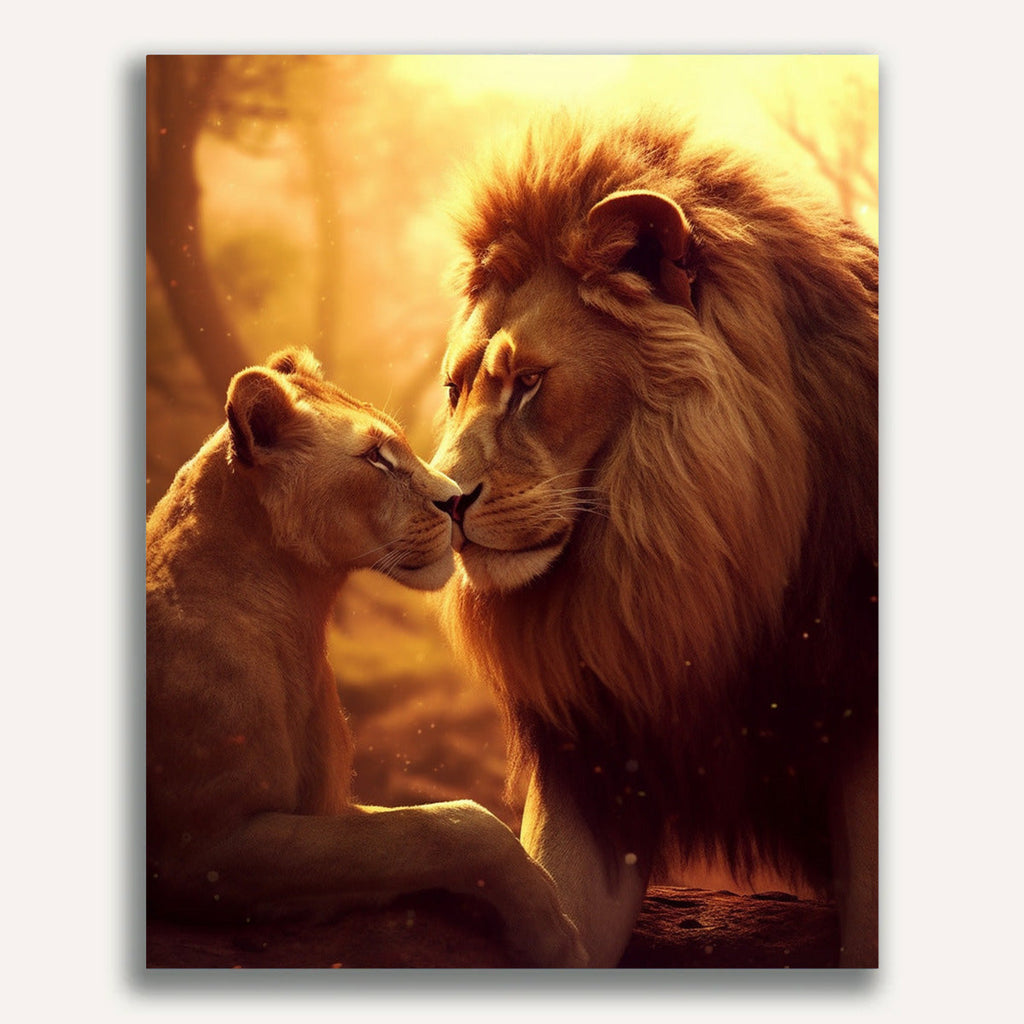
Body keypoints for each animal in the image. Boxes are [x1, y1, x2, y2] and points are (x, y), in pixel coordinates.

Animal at [146, 347, 586, 968]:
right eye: (377, 458)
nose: (456, 499)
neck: (295, 616)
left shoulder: (325, 809)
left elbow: (413, 831)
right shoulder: (204, 850)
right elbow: (444, 828)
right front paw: (552, 930)